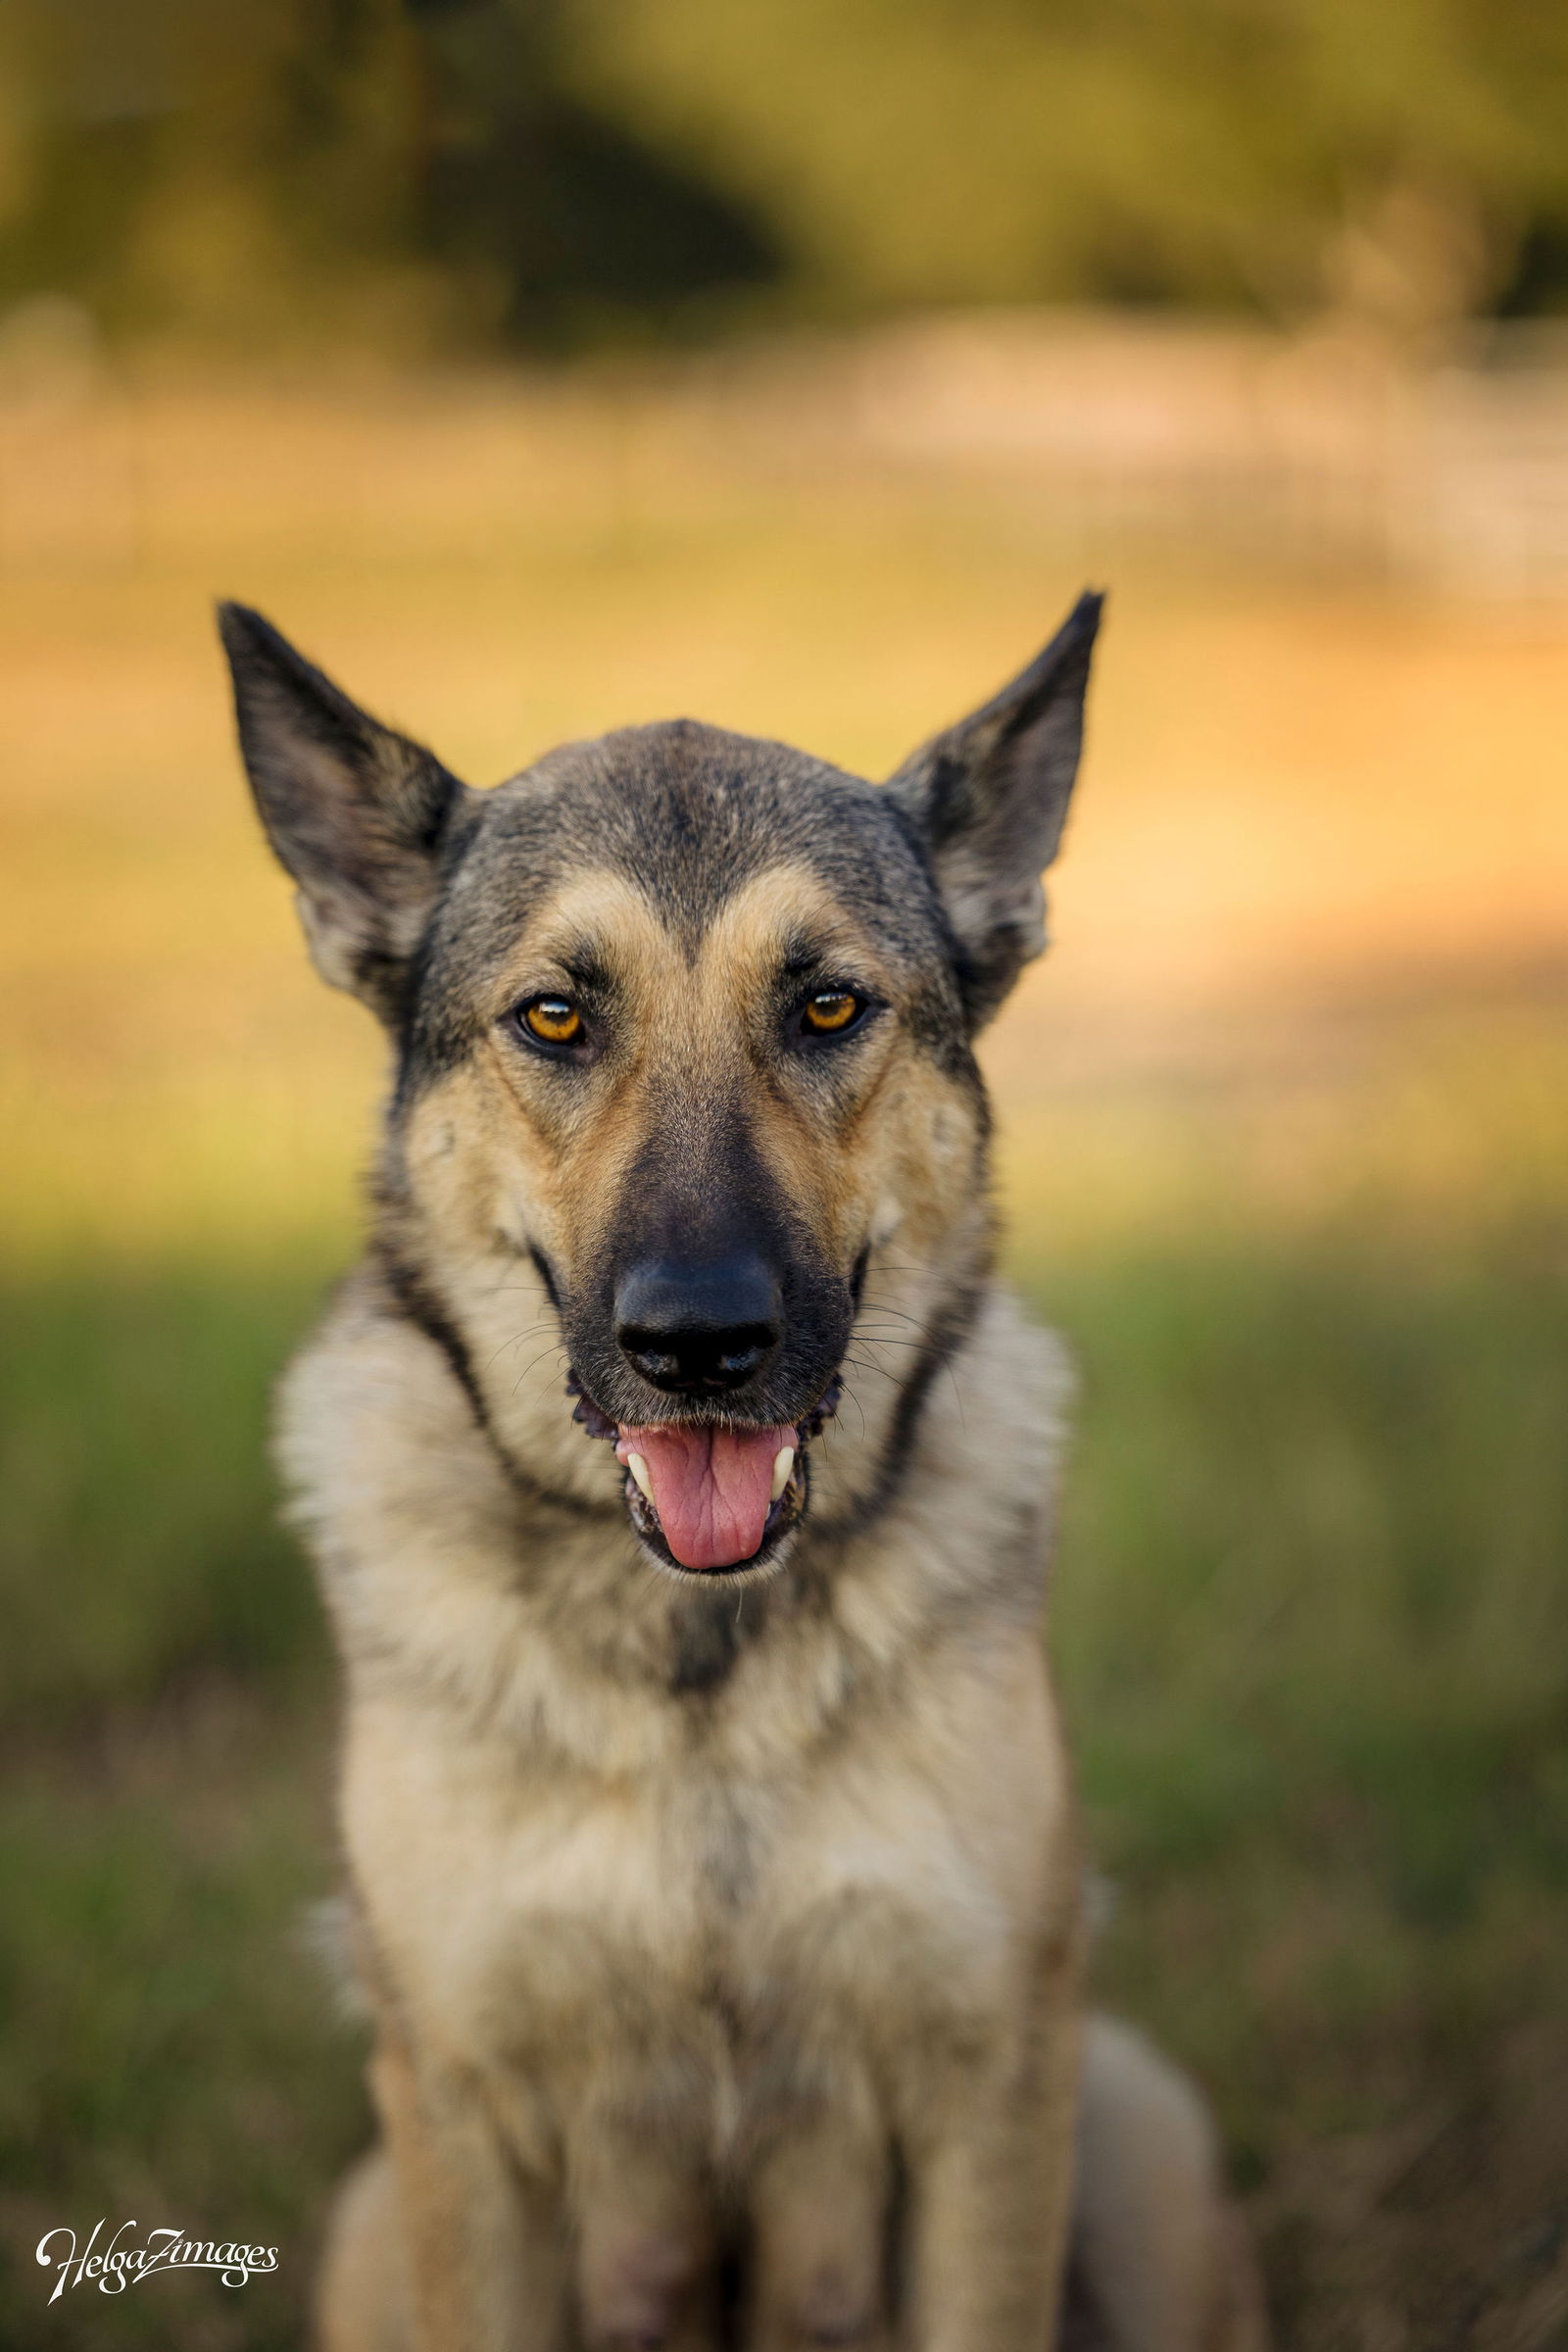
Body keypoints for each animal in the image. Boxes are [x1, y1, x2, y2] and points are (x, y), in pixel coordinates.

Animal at [217, 602, 1259, 2352]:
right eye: (554, 1017)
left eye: (828, 1008)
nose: (697, 1345)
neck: (693, 1660)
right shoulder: (462, 2112)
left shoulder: (991, 2084)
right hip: (371, 2229)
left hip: (1137, 2125)